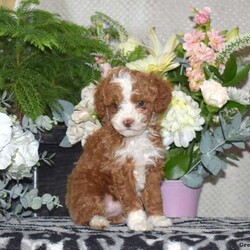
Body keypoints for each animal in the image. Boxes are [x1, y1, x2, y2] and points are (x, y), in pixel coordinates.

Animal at [66, 67, 172, 231]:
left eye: (141, 103)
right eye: (115, 106)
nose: (127, 121)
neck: (134, 139)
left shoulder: (152, 167)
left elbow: (154, 195)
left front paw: (157, 218)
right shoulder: (121, 169)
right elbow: (131, 198)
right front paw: (139, 222)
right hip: (86, 188)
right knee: (86, 212)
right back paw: (98, 220)